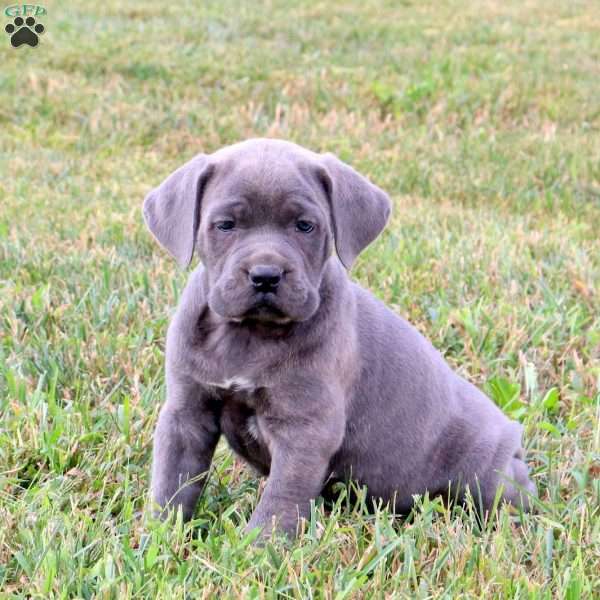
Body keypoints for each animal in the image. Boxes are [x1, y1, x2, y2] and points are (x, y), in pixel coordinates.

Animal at [143, 138, 536, 536]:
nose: (266, 275)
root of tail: (512, 434)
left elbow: (281, 498)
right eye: (225, 225)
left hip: (486, 476)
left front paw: (260, 545)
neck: (250, 334)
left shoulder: (305, 429)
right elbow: (172, 482)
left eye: (305, 226)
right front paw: (159, 535)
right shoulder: (186, 415)